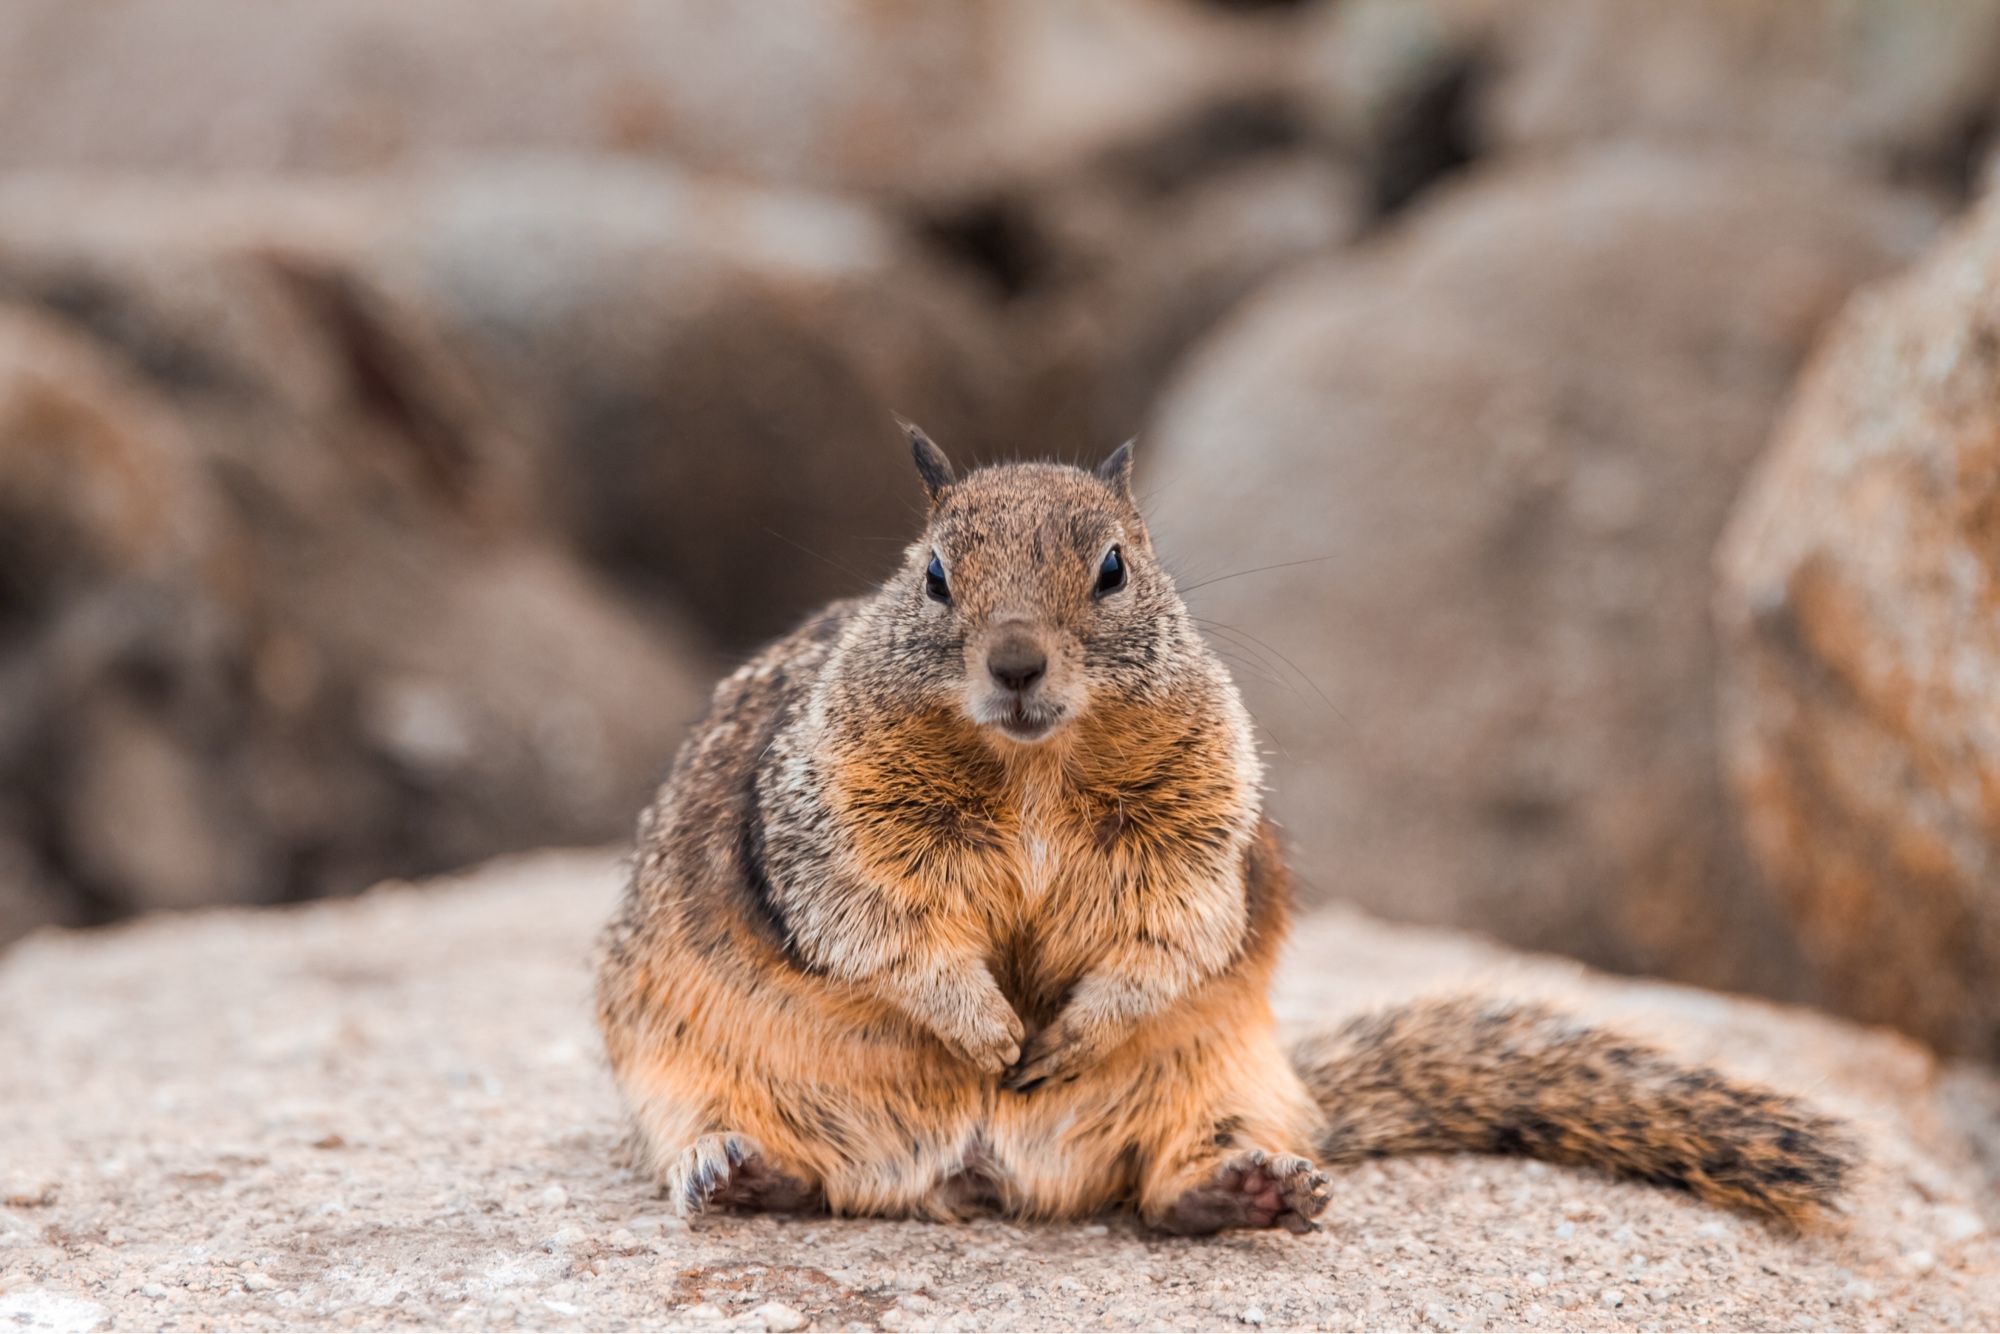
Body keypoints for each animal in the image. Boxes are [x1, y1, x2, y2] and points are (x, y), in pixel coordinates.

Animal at [596, 426, 1849, 1234]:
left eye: (1113, 565)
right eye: (935, 574)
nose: (1015, 664)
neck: (1031, 767)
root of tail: (978, 1173)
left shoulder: (1194, 838)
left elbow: (1168, 934)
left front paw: (1062, 1036)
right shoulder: (831, 822)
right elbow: (884, 925)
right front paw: (988, 1031)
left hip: (1222, 1077)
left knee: (1155, 1187)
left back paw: (1250, 1187)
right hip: (669, 1071)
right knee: (791, 1169)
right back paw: (738, 1169)